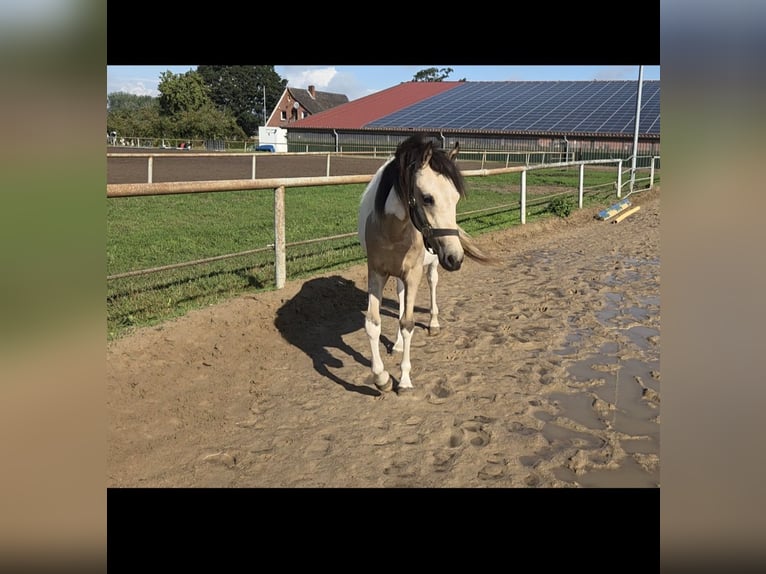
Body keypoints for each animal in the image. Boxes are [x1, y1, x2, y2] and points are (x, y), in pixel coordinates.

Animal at [357, 134, 492, 394]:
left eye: (456, 198)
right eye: (428, 198)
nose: (456, 258)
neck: (393, 231)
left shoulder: (413, 274)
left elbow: (408, 323)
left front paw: (404, 381)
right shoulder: (376, 273)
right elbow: (373, 323)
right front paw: (382, 378)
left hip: (430, 268)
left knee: (432, 285)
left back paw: (433, 324)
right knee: (401, 298)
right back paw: (398, 345)